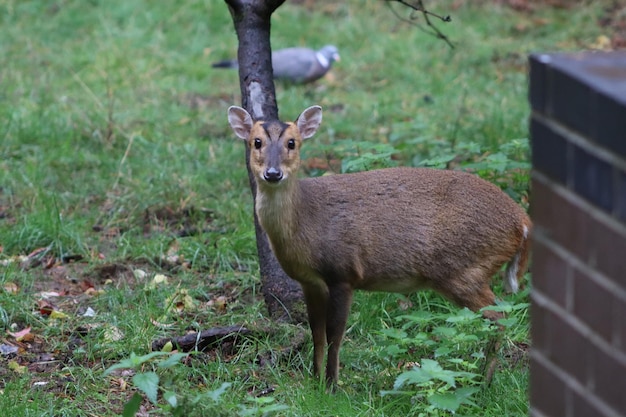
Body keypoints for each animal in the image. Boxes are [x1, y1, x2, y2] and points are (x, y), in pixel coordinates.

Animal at [227, 105, 528, 386]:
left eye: (292, 142)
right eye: (256, 142)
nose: (273, 173)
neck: (305, 221)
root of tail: (521, 220)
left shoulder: (343, 272)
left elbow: (335, 334)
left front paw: (332, 386)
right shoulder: (310, 282)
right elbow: (317, 333)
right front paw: (314, 381)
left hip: (462, 268)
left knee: (500, 315)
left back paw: (485, 381)